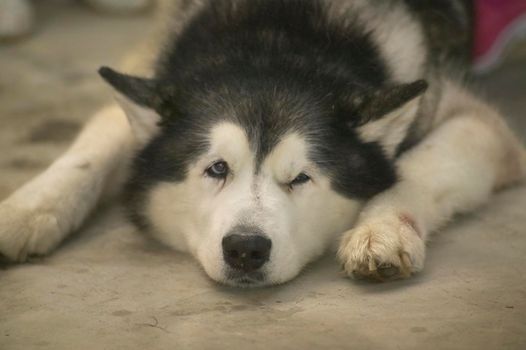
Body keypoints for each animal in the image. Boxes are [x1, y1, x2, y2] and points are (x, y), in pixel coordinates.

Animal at [1, 0, 526, 288]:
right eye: (216, 168)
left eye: (301, 177)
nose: (245, 249)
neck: (275, 35)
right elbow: (89, 152)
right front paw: (25, 211)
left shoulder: (480, 124)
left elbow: (420, 165)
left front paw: (383, 230)